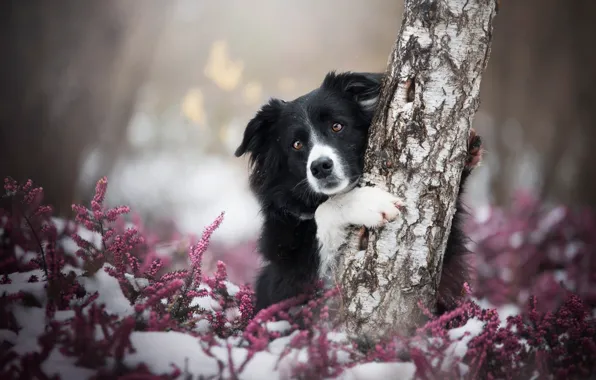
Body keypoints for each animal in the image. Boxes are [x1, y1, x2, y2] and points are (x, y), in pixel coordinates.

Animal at [235, 71, 482, 314]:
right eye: (296, 144)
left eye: (337, 126)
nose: (320, 167)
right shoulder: (291, 274)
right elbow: (324, 213)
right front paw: (369, 204)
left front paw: (468, 150)